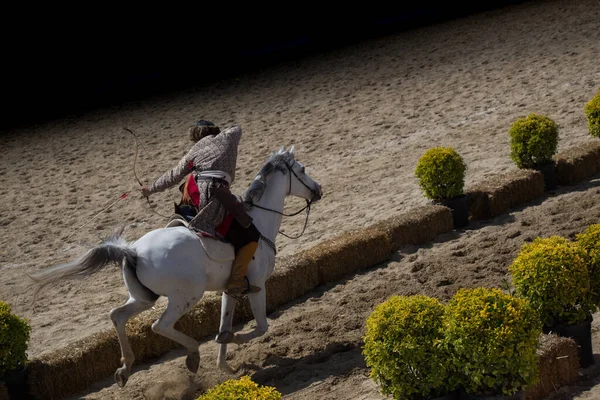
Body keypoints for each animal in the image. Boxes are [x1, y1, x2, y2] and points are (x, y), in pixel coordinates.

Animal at [28, 146, 324, 388]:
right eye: (302, 170)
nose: (318, 189)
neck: (259, 223)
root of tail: (133, 250)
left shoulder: (230, 291)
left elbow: (224, 324)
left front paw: (225, 364)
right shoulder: (257, 287)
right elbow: (259, 327)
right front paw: (230, 342)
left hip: (143, 298)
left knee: (118, 316)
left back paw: (125, 369)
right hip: (186, 297)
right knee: (159, 326)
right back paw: (191, 355)